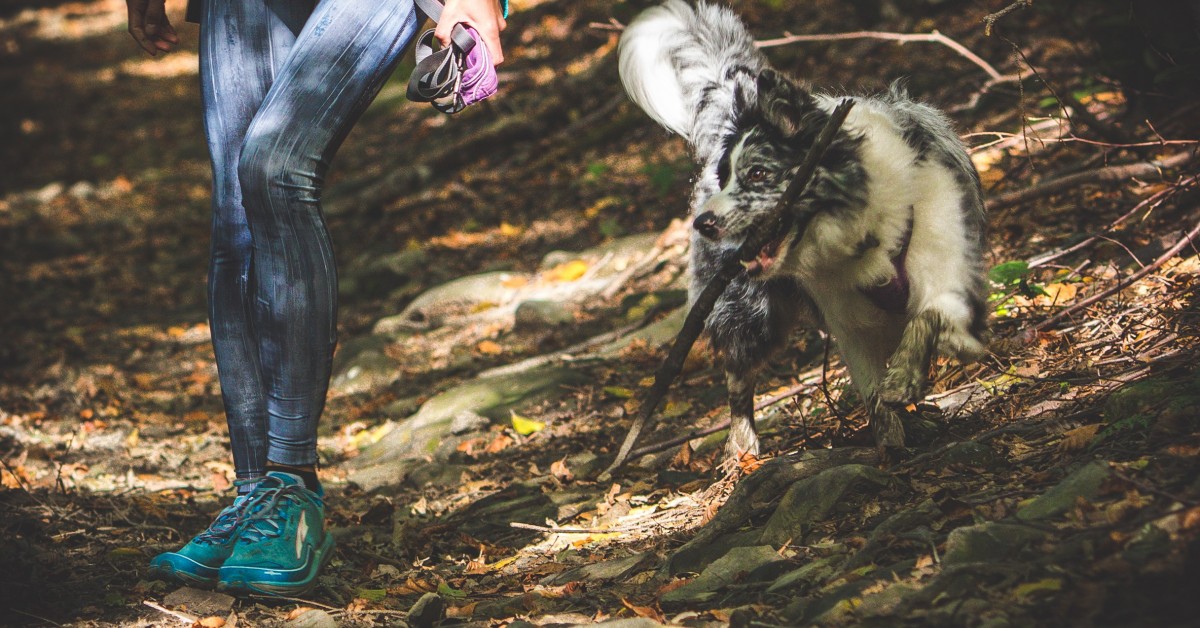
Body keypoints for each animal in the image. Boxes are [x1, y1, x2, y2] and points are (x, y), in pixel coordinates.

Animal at [614, 1, 988, 461]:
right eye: (727, 178)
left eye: (758, 173)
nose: (704, 222)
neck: (867, 226)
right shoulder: (850, 325)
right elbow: (874, 397)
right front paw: (890, 446)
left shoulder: (948, 275)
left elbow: (928, 318)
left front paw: (905, 377)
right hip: (750, 314)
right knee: (739, 376)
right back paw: (742, 449)